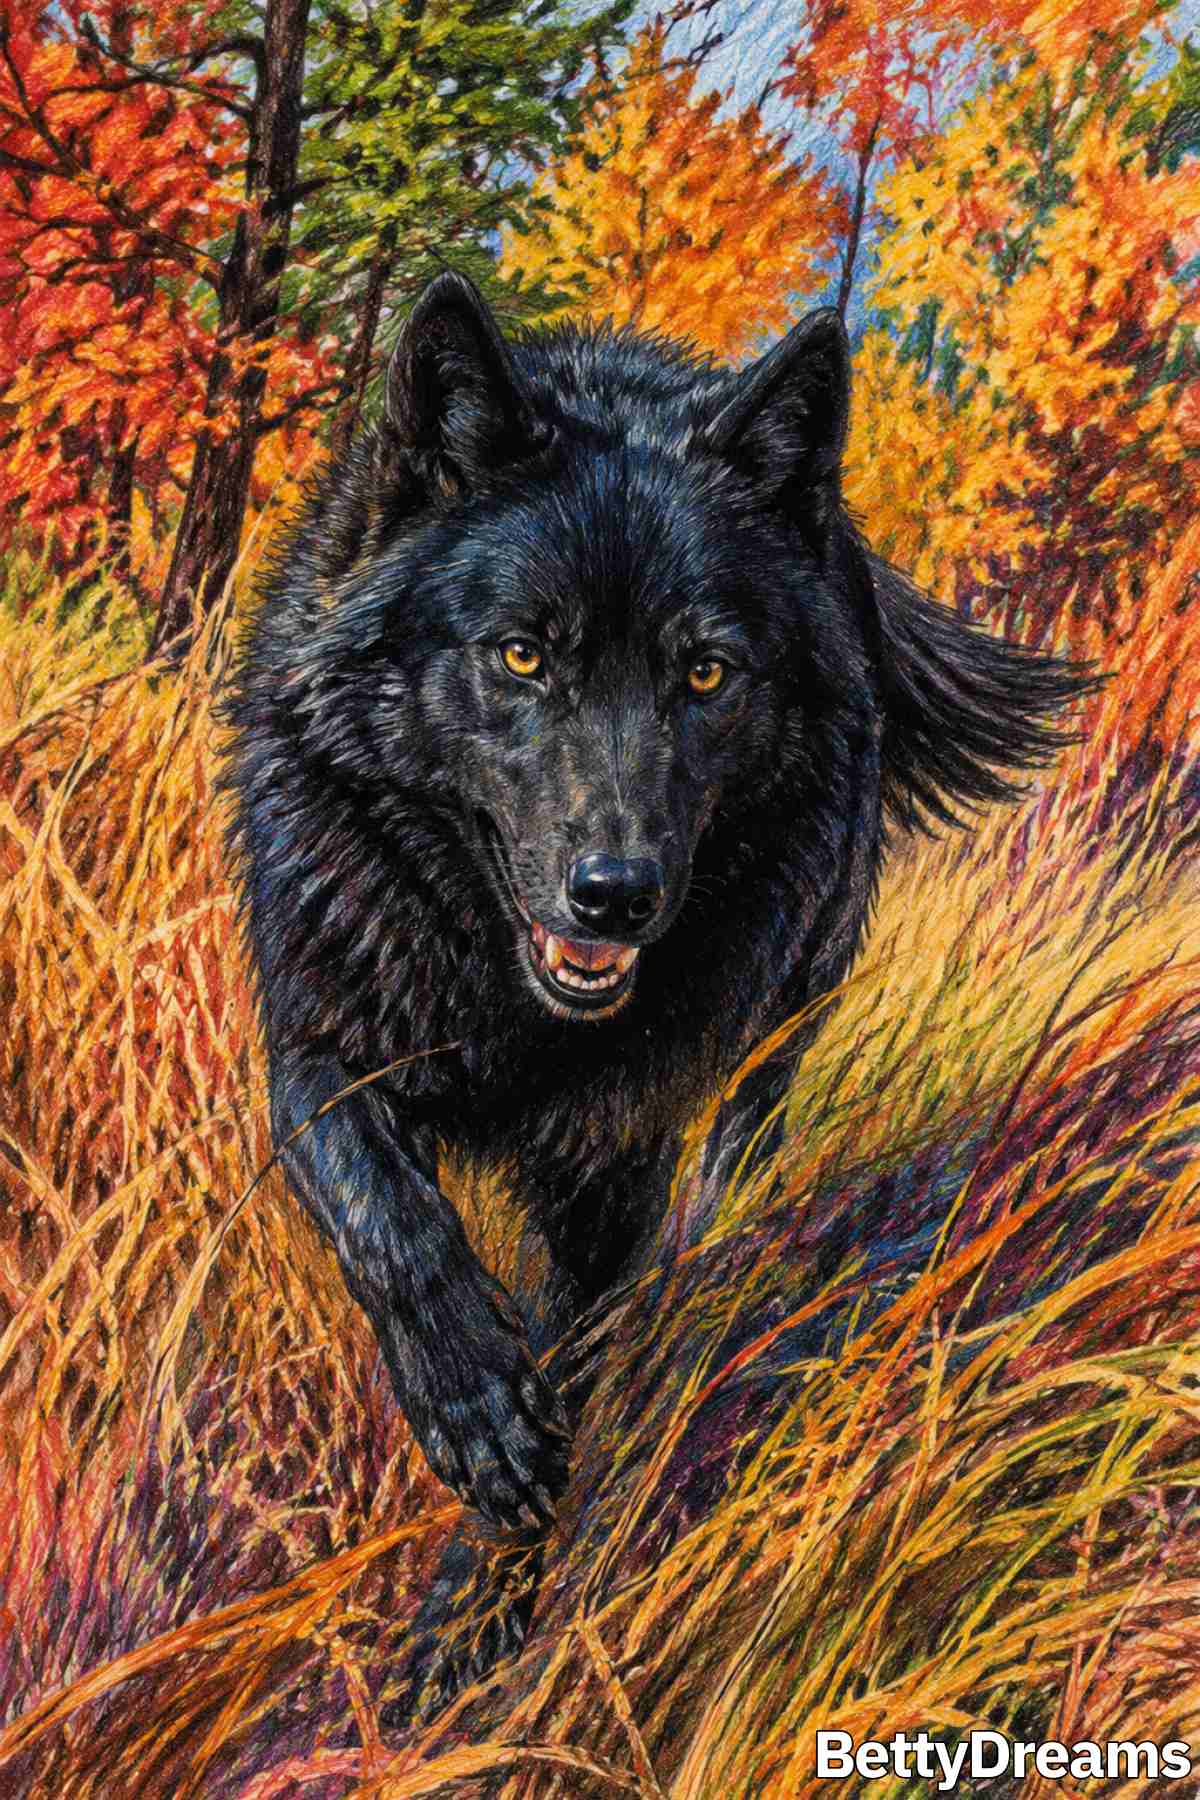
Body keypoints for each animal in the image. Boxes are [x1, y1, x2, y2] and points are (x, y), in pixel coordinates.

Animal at [225, 270, 1086, 1703]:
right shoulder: (319, 1036)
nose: (614, 894)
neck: (510, 1008)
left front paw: (471, 1628)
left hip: (790, 1000)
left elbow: (577, 1357)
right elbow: (385, 1215)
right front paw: (473, 1404)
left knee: (746, 1136)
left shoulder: (612, 1169)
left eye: (705, 671)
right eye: (523, 656)